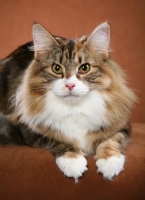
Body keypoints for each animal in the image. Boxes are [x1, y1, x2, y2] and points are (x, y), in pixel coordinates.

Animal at [0, 22, 136, 182]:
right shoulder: (28, 129)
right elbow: (60, 141)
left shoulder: (121, 125)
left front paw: (110, 163)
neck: (74, 110)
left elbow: (110, 140)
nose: (70, 85)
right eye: (56, 68)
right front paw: (74, 162)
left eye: (84, 68)